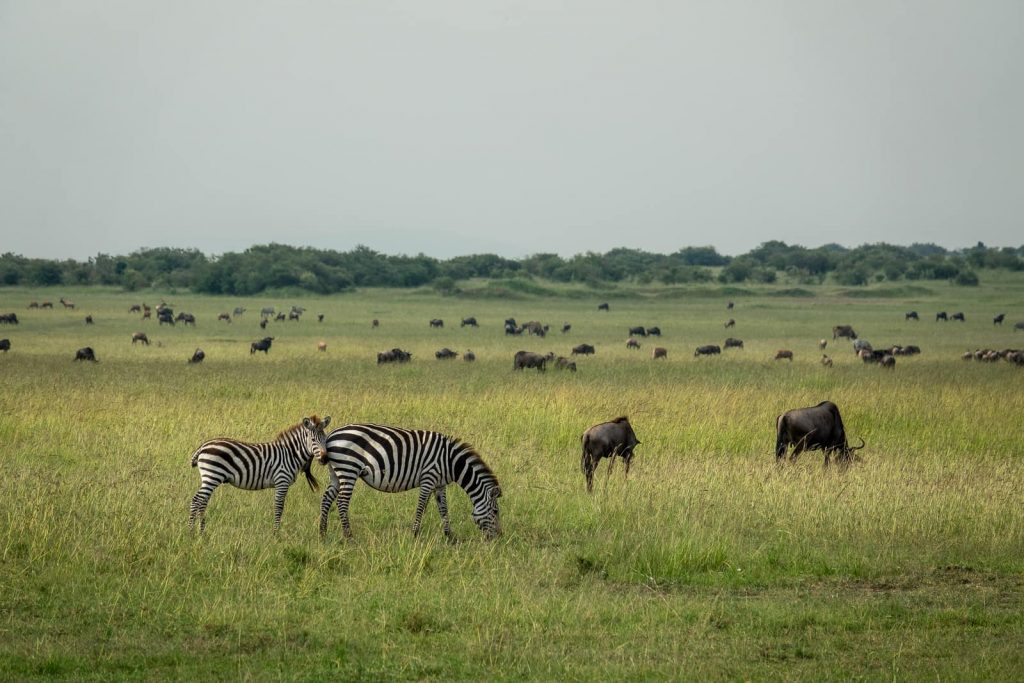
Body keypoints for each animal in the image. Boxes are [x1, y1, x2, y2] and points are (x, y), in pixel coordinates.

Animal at [188, 417, 331, 532]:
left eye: (325, 438)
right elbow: (279, 507)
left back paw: (201, 532)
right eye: (313, 439)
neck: (291, 454)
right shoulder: (282, 481)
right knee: (197, 500)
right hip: (212, 476)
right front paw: (276, 533)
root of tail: (203, 446)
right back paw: (191, 533)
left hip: (210, 478)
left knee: (202, 501)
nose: (325, 459)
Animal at [315, 423, 499, 540]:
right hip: (348, 469)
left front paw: (450, 537)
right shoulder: (428, 478)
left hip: (336, 473)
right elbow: (421, 507)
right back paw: (348, 536)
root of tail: (330, 436)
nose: (499, 537)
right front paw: (415, 534)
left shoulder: (439, 484)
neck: (451, 462)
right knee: (342, 502)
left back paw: (323, 533)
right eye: (496, 511)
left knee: (327, 498)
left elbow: (443, 509)